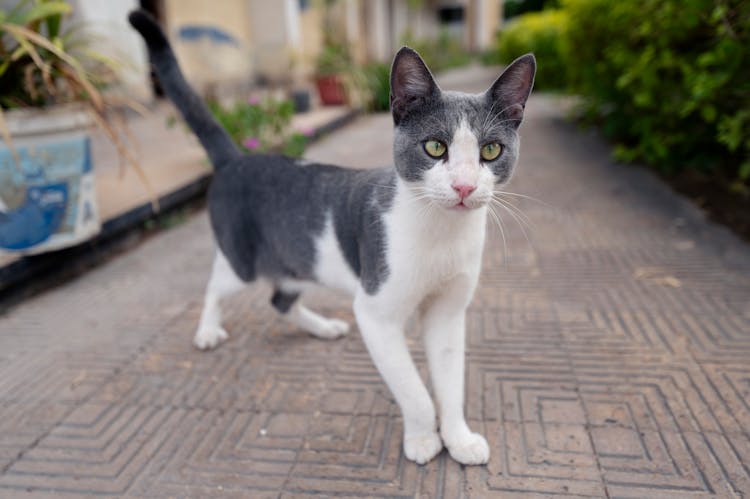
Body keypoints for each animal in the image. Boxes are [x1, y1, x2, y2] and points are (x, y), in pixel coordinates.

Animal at [131, 9, 540, 466]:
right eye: (435, 147)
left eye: (491, 151)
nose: (465, 187)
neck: (440, 233)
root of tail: (236, 159)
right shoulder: (376, 312)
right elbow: (413, 389)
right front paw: (422, 439)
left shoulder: (448, 312)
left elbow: (451, 380)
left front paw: (459, 438)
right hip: (242, 260)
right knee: (217, 283)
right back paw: (207, 330)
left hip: (295, 261)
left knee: (279, 299)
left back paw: (322, 327)